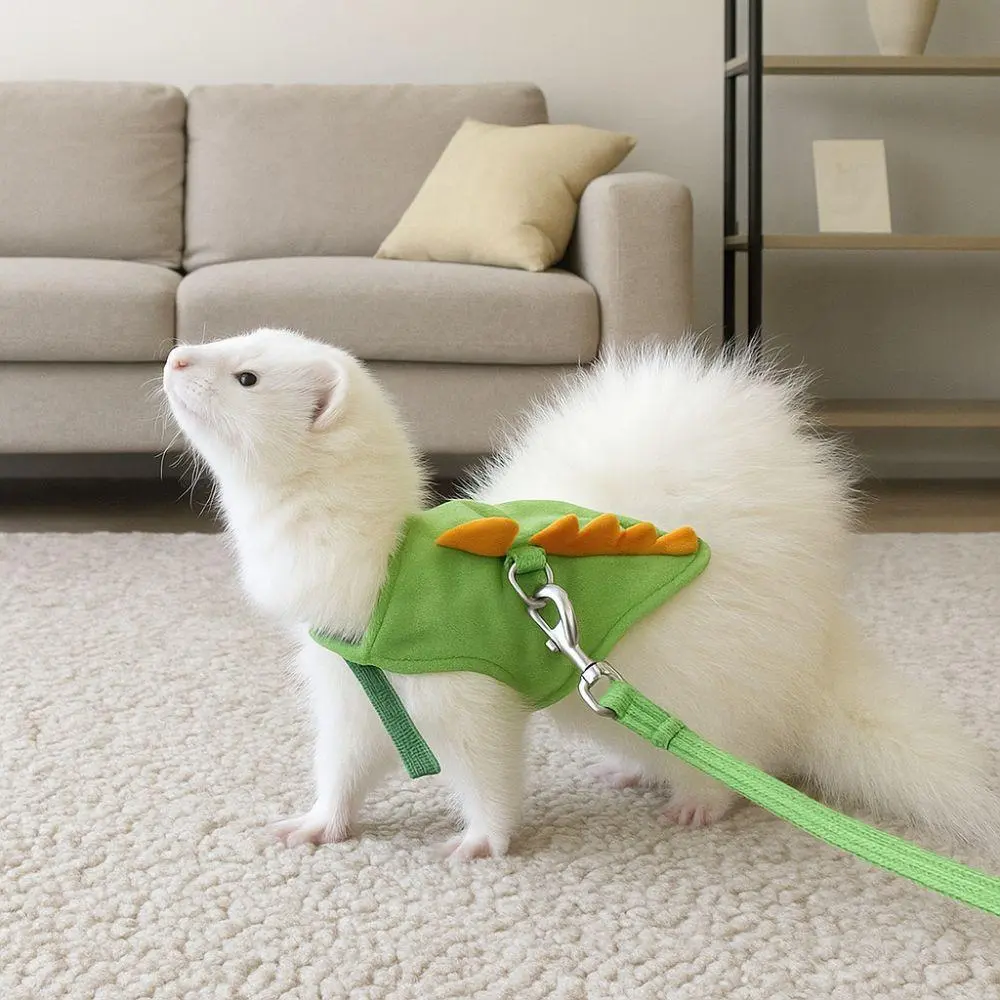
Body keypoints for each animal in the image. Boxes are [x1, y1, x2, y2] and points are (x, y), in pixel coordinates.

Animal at [163, 327, 999, 860]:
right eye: (237, 334)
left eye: (246, 375)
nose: (173, 354)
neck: (379, 575)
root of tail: (816, 643)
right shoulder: (349, 686)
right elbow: (341, 766)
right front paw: (315, 825)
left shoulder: (470, 693)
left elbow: (489, 770)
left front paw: (484, 840)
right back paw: (636, 769)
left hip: (706, 680)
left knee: (744, 752)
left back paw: (698, 799)